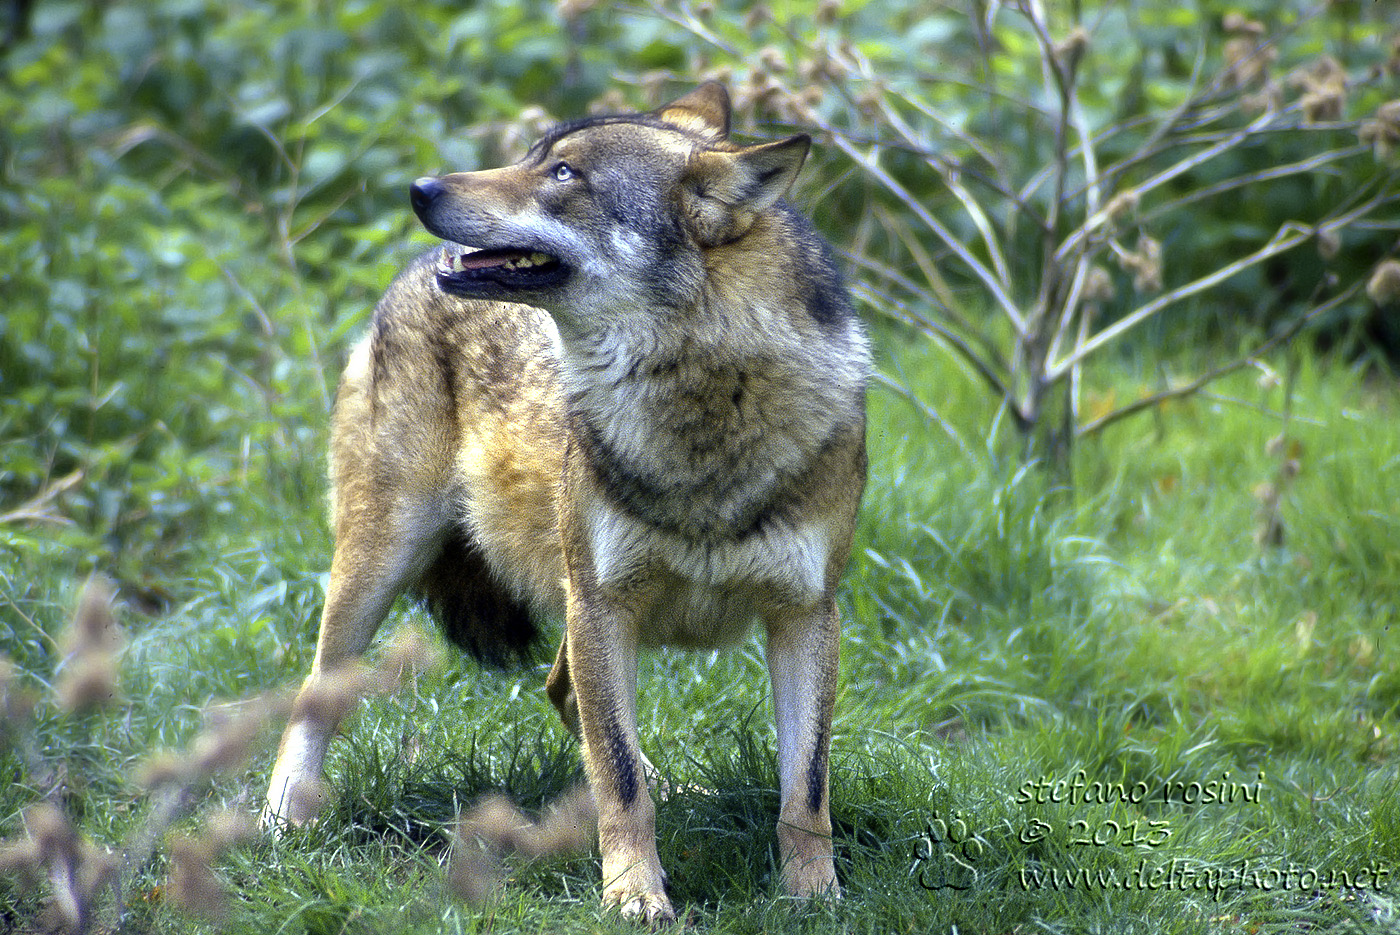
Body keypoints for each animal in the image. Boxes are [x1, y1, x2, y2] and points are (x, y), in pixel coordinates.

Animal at [263, 83, 870, 923]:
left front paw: (815, 896)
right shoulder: (602, 604)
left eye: (563, 173)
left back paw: (678, 787)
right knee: (315, 691)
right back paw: (282, 816)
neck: (701, 409)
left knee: (564, 693)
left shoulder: (807, 613)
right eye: (532, 157)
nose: (421, 189)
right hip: (382, 561)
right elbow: (618, 774)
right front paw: (635, 895)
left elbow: (804, 788)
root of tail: (410, 274)